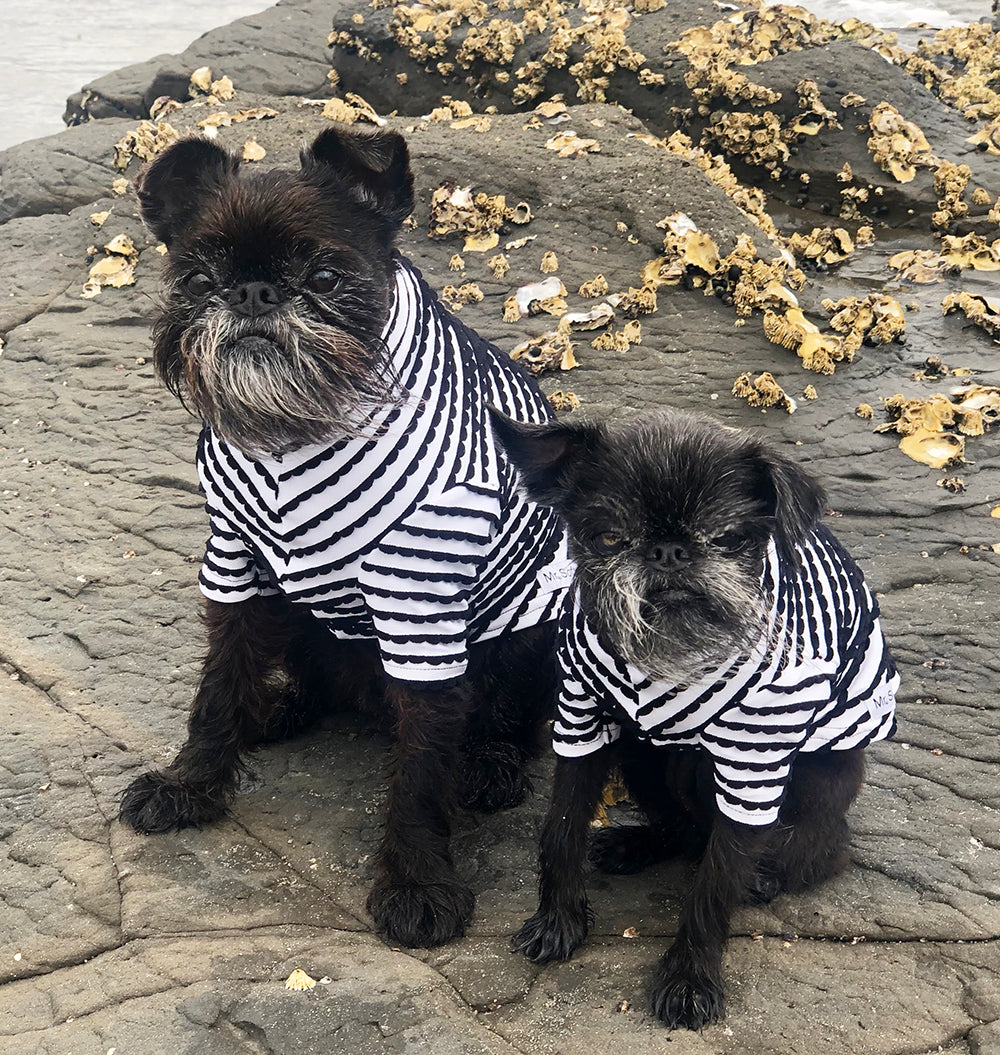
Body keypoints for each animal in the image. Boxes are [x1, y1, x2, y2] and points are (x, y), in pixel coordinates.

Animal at [118, 123, 573, 949]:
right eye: (197, 279)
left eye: (326, 277)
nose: (252, 293)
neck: (296, 433)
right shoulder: (234, 567)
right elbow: (218, 681)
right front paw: (191, 780)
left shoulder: (421, 607)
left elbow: (421, 768)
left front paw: (418, 883)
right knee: (307, 674)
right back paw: (277, 708)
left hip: (534, 625)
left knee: (512, 716)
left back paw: (488, 762)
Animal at [491, 409, 898, 1029]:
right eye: (608, 537)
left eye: (728, 539)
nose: (669, 552)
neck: (664, 659)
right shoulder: (581, 724)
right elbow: (559, 828)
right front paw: (558, 921)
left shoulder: (751, 771)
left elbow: (713, 886)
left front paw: (689, 979)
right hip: (641, 752)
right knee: (683, 827)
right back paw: (636, 845)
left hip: (784, 780)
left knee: (824, 847)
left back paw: (769, 872)